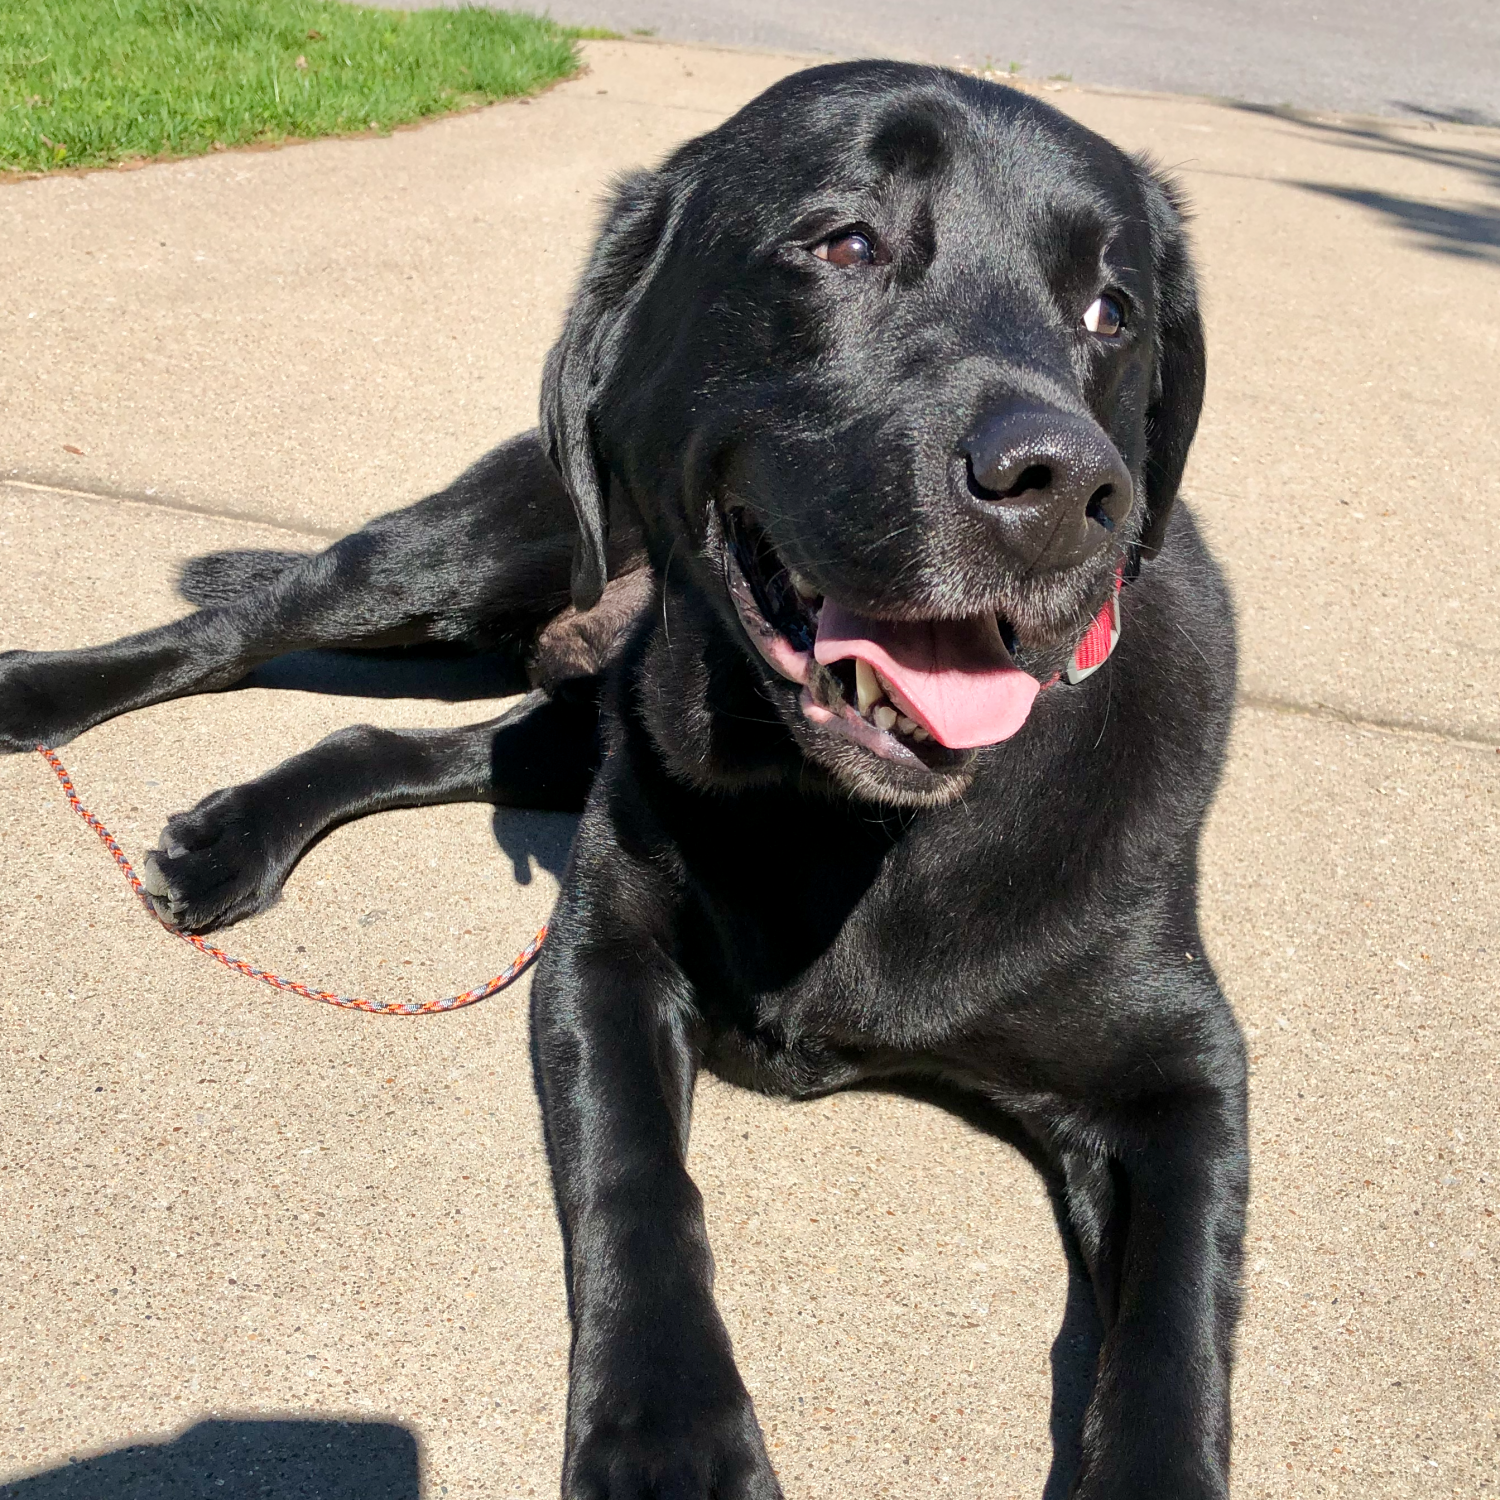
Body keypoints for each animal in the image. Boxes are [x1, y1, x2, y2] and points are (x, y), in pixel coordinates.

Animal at [2, 61, 1242, 1500]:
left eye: (1116, 311)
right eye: (844, 242)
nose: (1060, 489)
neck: (841, 823)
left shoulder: (1184, 1072)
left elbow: (1172, 1341)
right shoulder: (604, 954)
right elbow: (639, 1186)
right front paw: (669, 1437)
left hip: (562, 724)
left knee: (393, 745)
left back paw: (237, 838)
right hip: (461, 560)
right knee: (241, 626)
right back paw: (41, 696)